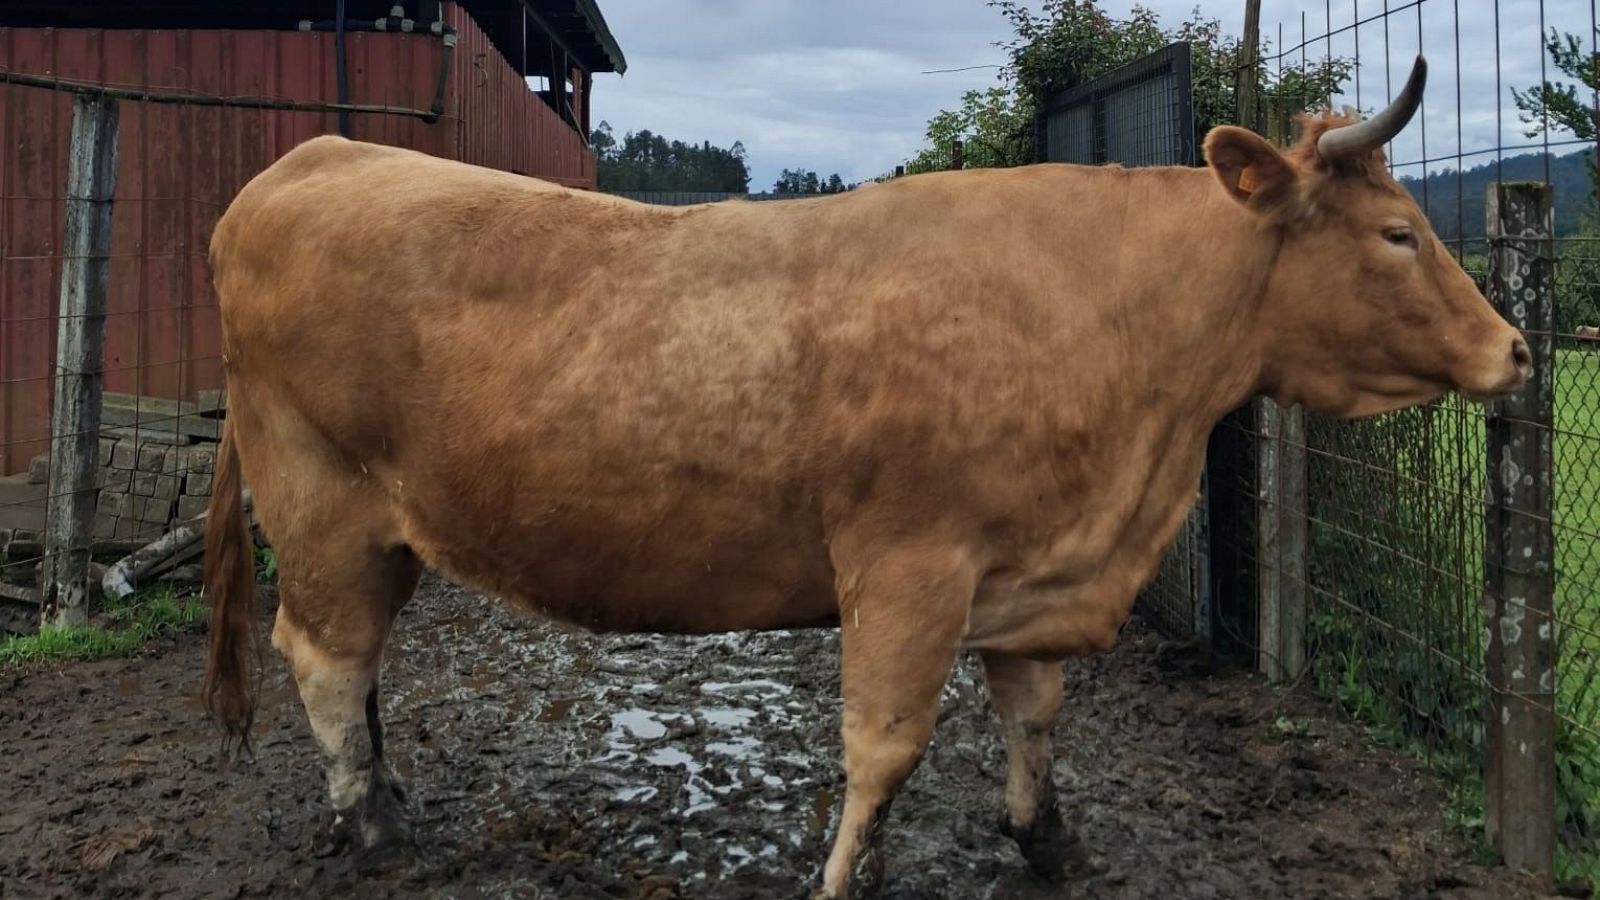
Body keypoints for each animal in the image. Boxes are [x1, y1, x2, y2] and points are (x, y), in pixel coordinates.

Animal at [202, 55, 1528, 899]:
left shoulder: (1027, 571)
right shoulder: (908, 564)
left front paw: (1045, 839)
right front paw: (847, 875)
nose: (1514, 349)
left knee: (358, 662)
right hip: (318, 499)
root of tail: (315, 154)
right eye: (1397, 233)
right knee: (324, 658)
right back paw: (374, 823)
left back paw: (387, 790)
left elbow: (1032, 715)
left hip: (377, 528)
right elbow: (883, 742)